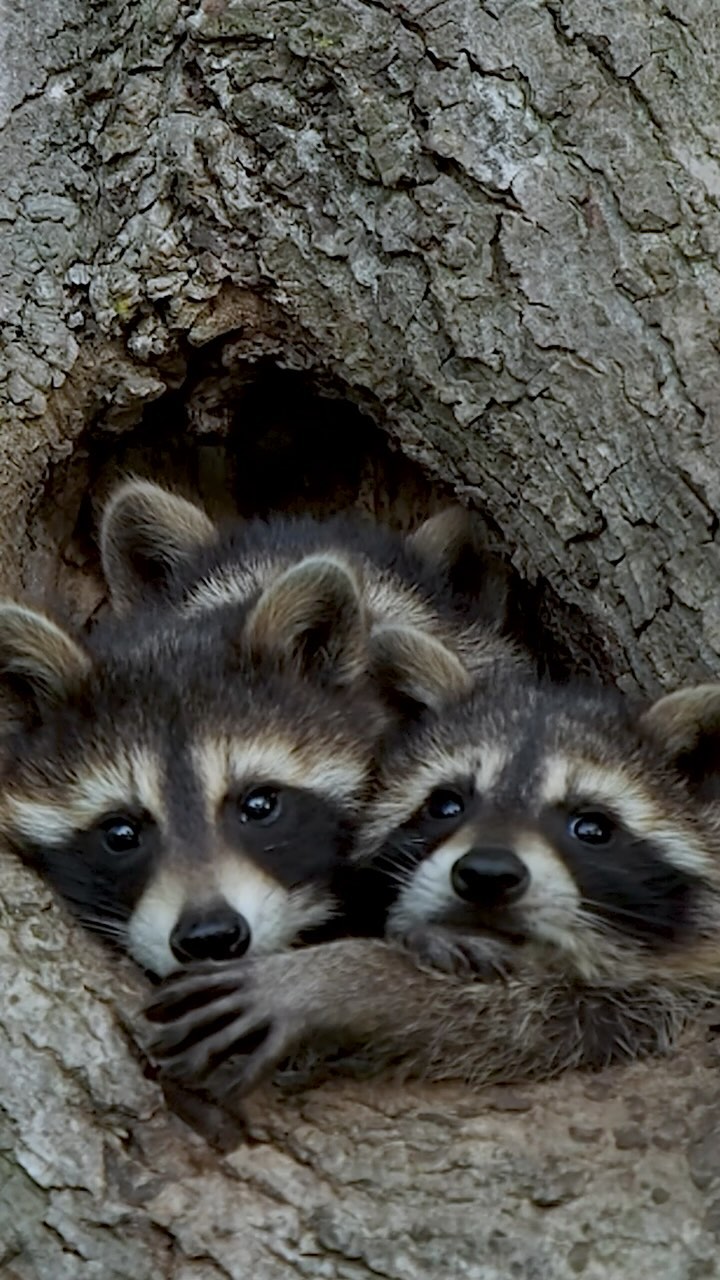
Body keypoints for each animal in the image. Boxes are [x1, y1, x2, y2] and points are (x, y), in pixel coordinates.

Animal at [144, 676, 720, 1094]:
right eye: (445, 805)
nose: (487, 874)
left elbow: (546, 1025)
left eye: (592, 828)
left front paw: (348, 982)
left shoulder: (670, 998)